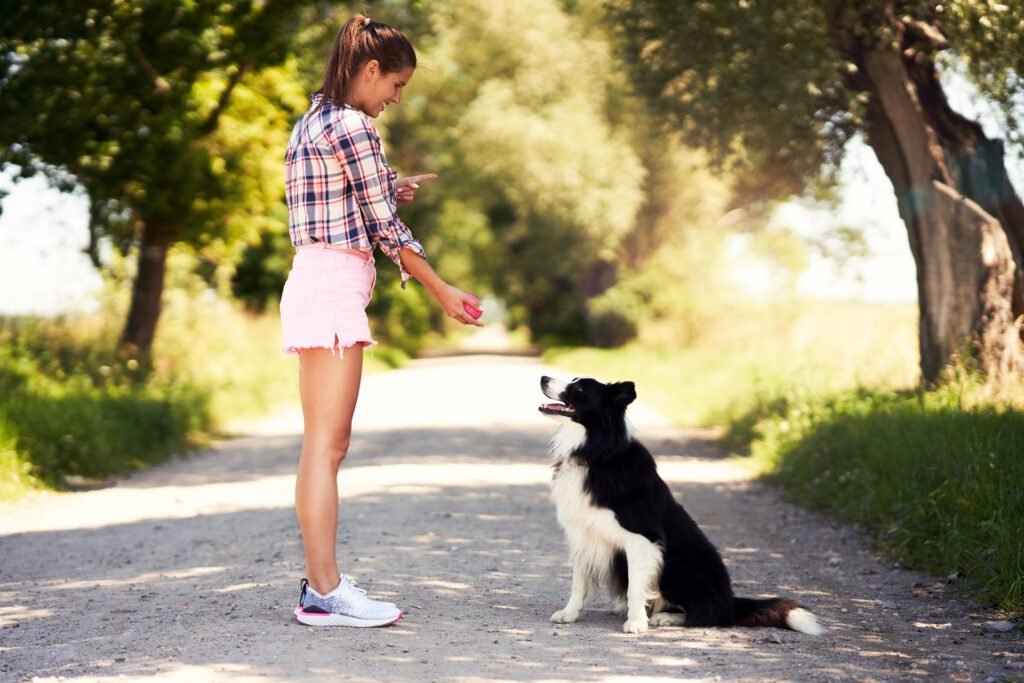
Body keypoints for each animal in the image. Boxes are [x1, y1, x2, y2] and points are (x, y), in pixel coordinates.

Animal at [540, 374, 827, 634]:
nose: (543, 378)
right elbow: (579, 582)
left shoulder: (642, 539)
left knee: (709, 612)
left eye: (579, 388)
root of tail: (731, 601)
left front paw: (636, 623)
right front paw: (570, 614)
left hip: (676, 566)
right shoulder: (582, 534)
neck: (596, 452)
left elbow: (634, 588)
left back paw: (665, 617)